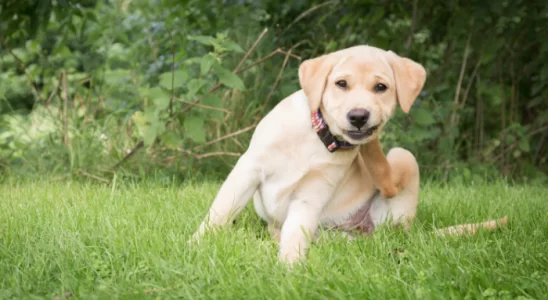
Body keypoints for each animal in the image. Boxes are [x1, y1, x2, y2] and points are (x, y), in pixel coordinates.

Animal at [193, 45, 428, 264]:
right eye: (341, 83)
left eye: (381, 87)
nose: (358, 116)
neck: (317, 137)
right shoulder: (249, 168)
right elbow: (221, 210)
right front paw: (197, 244)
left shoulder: (311, 194)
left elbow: (296, 230)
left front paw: (289, 265)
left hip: (401, 161)